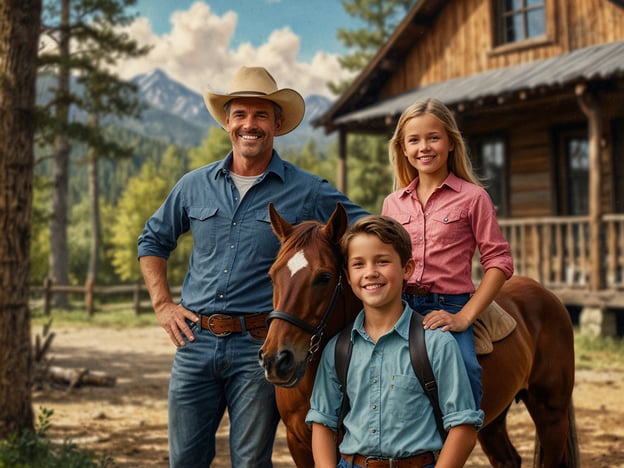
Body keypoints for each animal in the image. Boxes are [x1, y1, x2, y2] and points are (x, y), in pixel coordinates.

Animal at [258, 203, 580, 466]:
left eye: (323, 277)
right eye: (272, 276)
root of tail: (547, 296)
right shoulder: (300, 443)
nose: (276, 360)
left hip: (551, 412)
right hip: (494, 420)